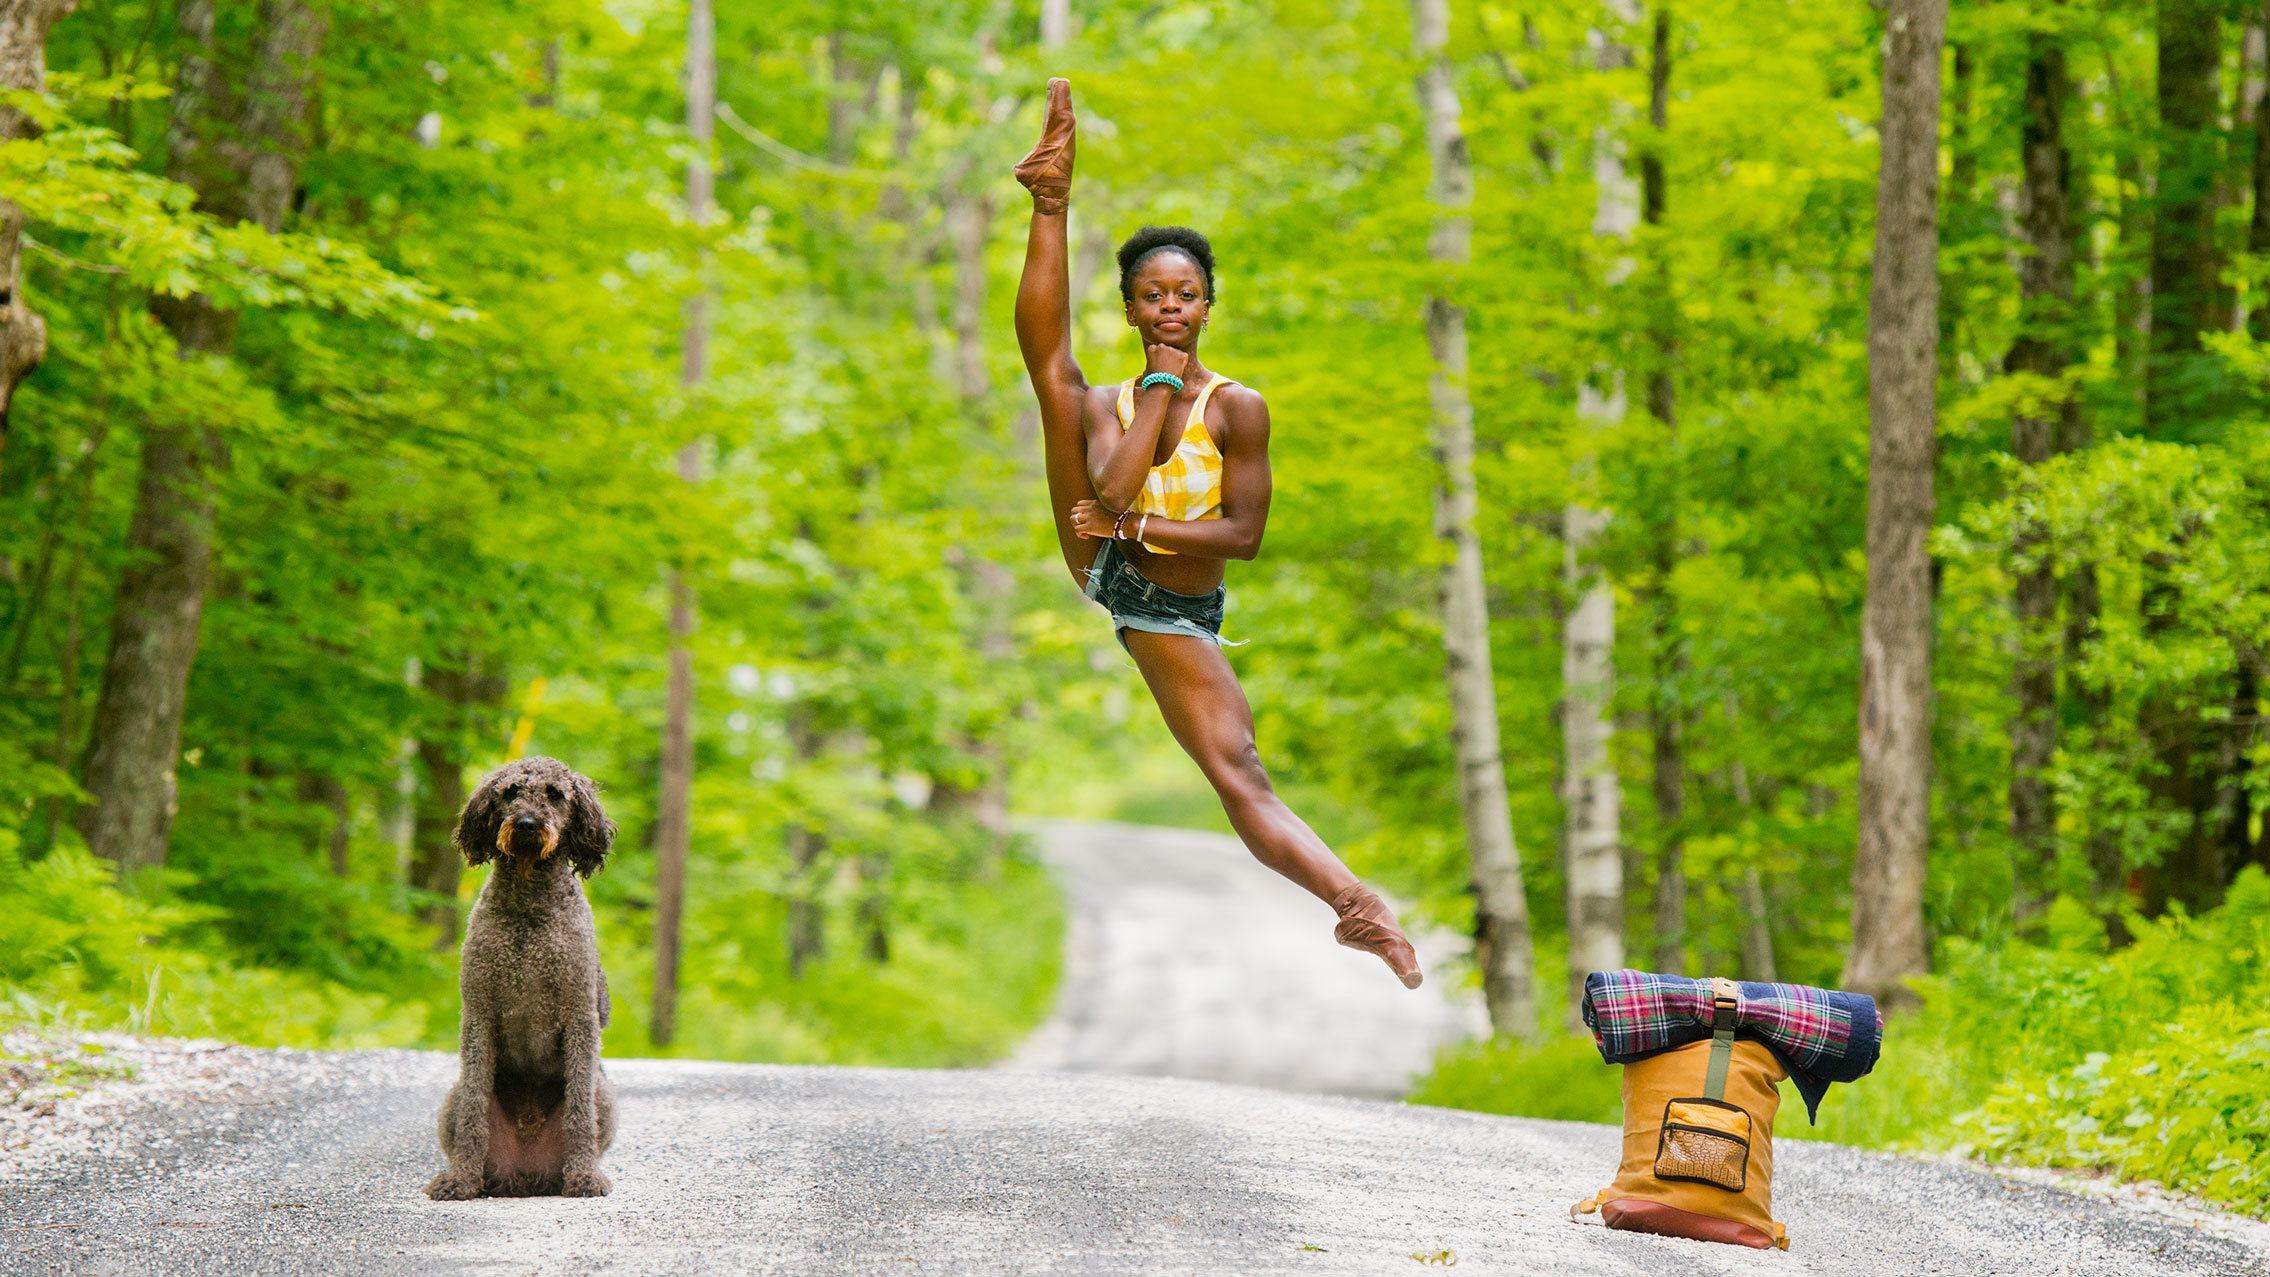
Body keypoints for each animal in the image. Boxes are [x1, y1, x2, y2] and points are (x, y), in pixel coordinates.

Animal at [426, 757, 617, 1197]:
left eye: (556, 794)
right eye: (511, 791)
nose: (528, 823)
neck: (530, 912)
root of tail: (525, 1176)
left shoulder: (580, 1017)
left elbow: (579, 1112)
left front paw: (584, 1178)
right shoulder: (478, 1015)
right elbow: (474, 1112)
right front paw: (461, 1180)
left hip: (605, 1095)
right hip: (452, 1097)